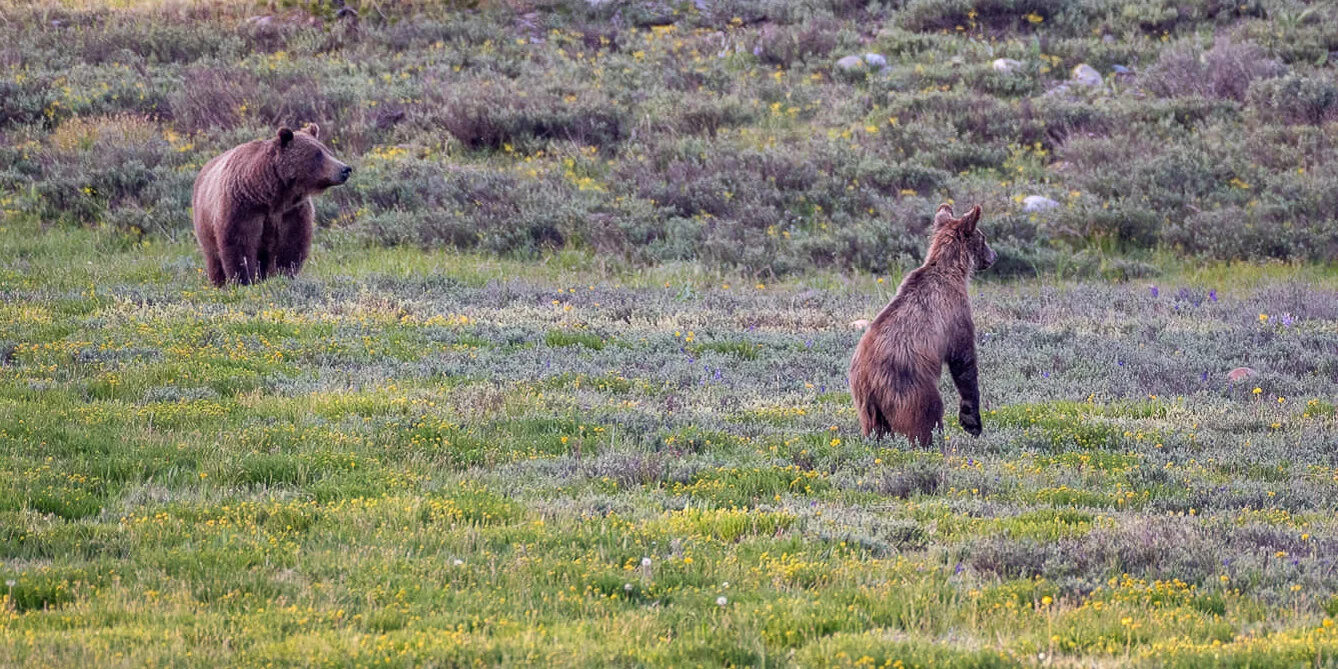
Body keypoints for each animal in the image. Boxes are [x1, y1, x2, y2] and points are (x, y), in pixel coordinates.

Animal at [192, 123, 351, 287]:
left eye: (327, 151)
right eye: (317, 154)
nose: (345, 169)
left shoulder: (292, 211)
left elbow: (292, 245)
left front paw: (285, 274)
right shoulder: (244, 208)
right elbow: (239, 244)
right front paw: (243, 279)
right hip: (205, 224)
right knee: (214, 257)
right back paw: (219, 282)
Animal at [848, 203, 996, 446]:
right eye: (983, 238)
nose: (994, 256)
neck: (954, 271)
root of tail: (869, 379)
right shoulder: (955, 314)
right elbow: (964, 362)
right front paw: (972, 420)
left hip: (866, 406)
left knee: (876, 429)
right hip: (909, 387)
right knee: (926, 417)